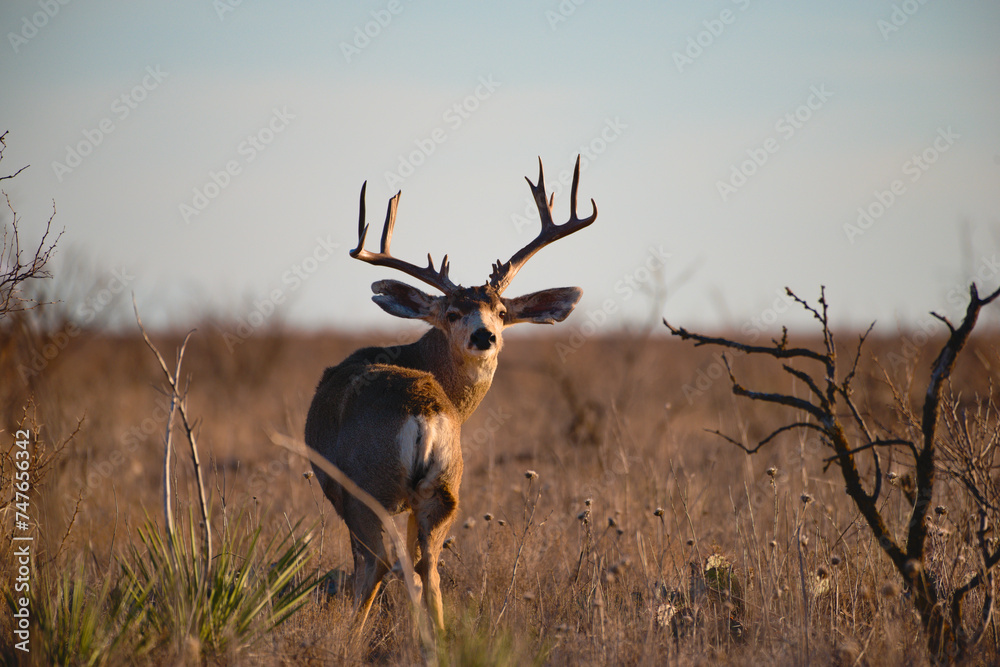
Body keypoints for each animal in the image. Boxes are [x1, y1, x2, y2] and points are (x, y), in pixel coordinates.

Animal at [304, 156, 597, 633]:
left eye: (502, 311)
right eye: (453, 312)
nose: (485, 335)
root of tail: (423, 412)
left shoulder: (341, 486)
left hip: (369, 486)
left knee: (378, 563)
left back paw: (352, 636)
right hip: (444, 488)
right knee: (428, 566)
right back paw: (436, 638)